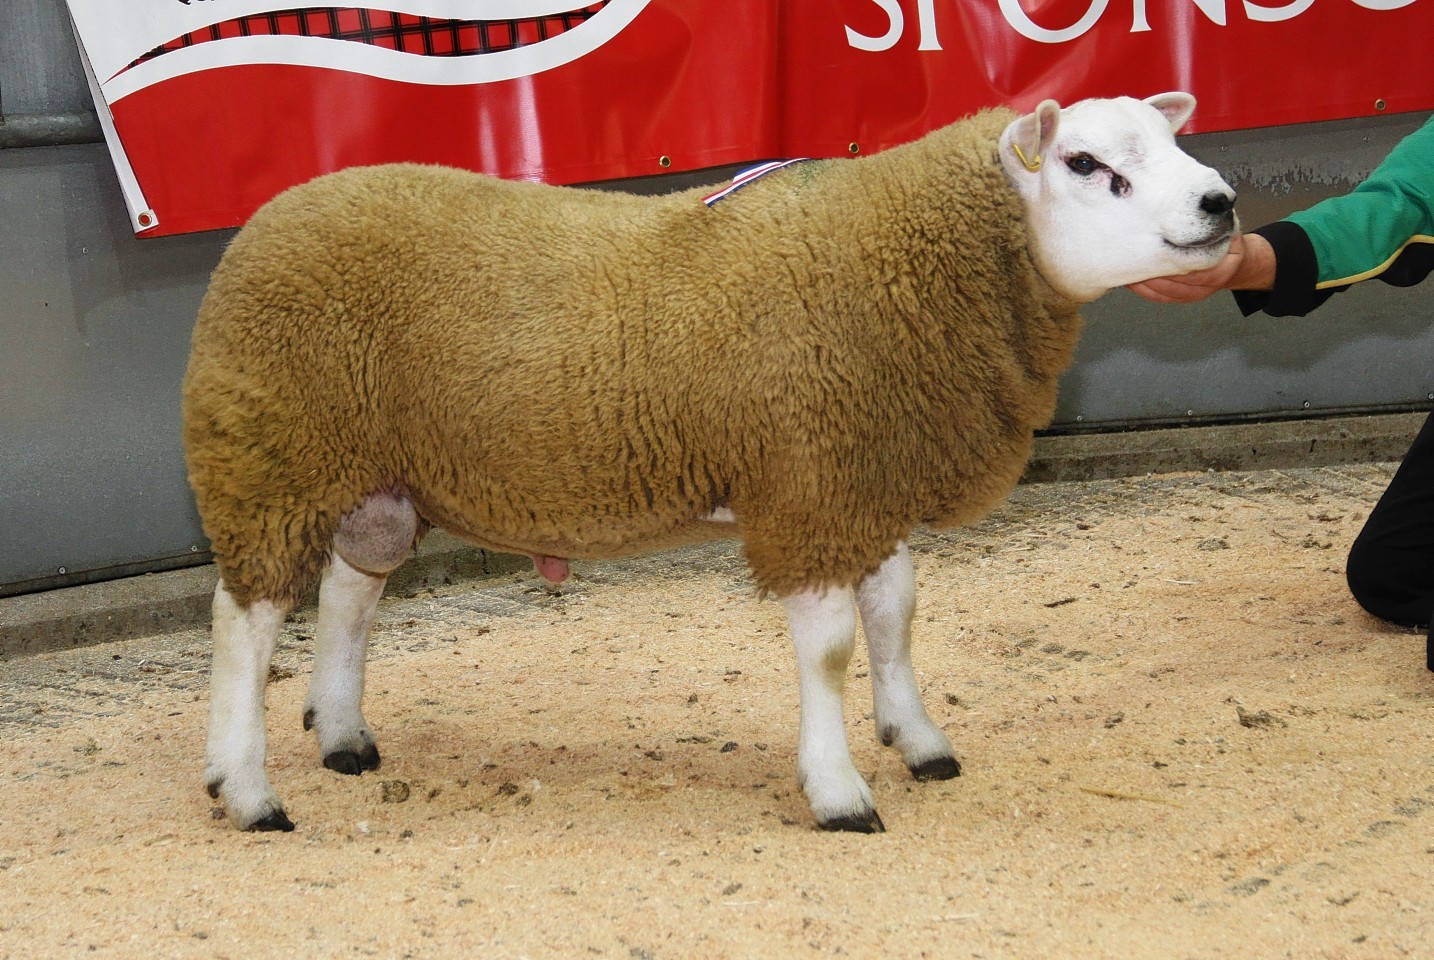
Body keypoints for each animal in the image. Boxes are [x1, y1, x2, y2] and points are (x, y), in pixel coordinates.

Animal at [184, 95, 1238, 832]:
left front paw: (919, 741)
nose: (1221, 204)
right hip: (269, 461)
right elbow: (833, 649)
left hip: (373, 479)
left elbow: (896, 617)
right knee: (245, 622)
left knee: (349, 594)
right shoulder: (808, 487)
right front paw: (838, 790)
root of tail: (269, 219)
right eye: (1085, 162)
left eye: (1168, 140)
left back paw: (343, 735)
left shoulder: (864, 478)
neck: (916, 262)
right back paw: (248, 790)